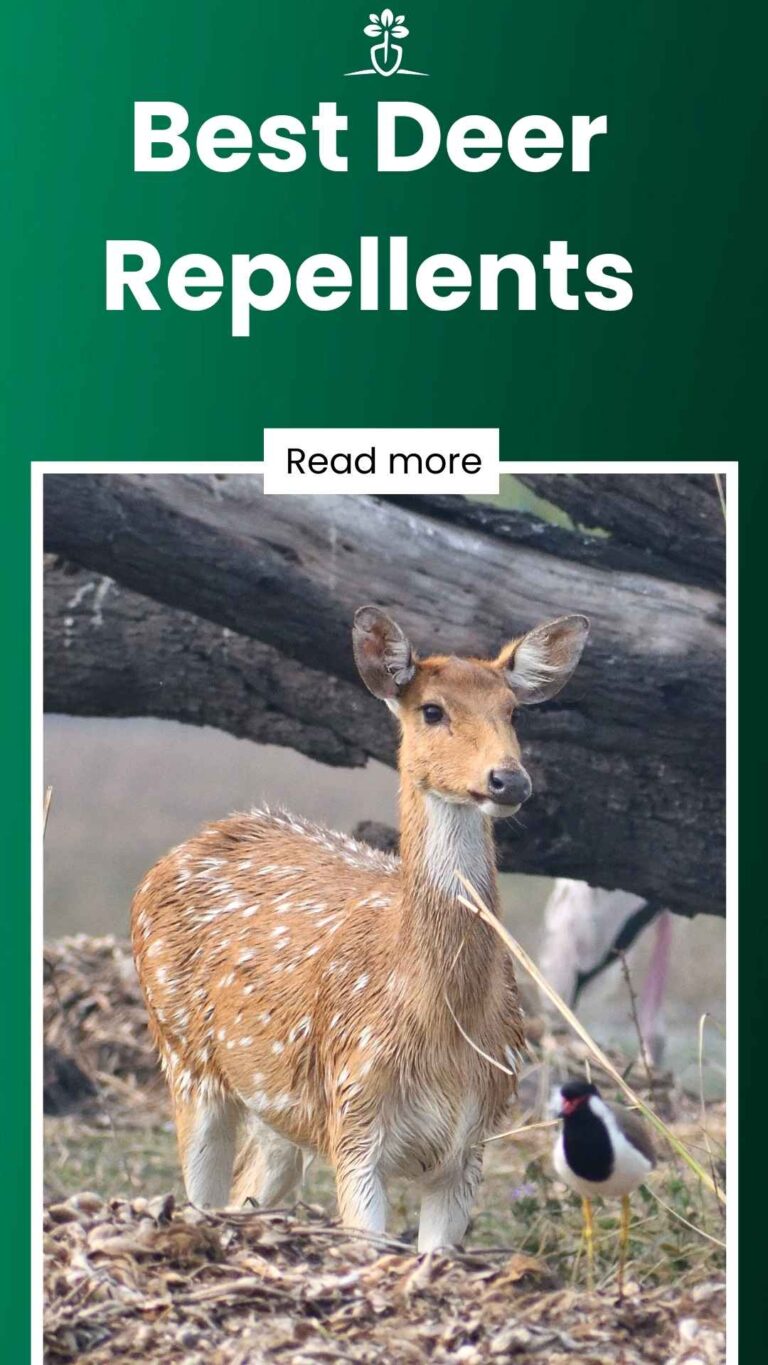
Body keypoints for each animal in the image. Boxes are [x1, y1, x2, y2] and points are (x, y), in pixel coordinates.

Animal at [131, 606, 589, 1251]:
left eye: (513, 710)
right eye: (432, 710)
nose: (509, 781)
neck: (438, 1026)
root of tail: (192, 843)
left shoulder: (471, 1137)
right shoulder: (354, 1116)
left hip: (280, 1105)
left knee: (251, 1181)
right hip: (182, 1052)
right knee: (203, 1190)